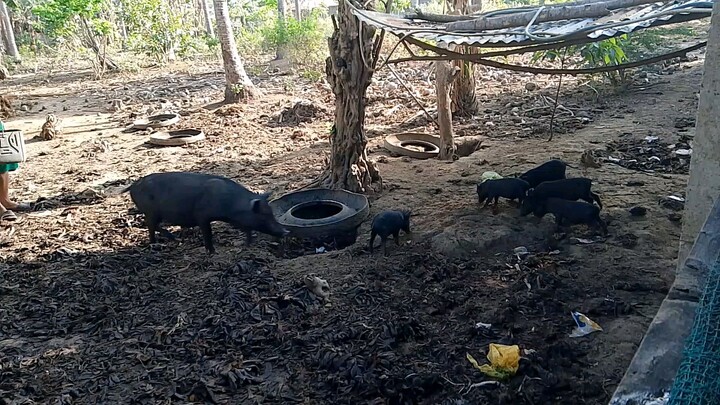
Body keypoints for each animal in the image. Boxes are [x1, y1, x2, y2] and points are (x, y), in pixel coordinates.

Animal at [124, 171, 290, 252]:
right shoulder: (202, 216)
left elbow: (246, 230)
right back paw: (159, 243)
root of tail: (133, 185)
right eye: (264, 216)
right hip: (151, 211)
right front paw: (211, 252)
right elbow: (208, 233)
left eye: (271, 213)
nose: (286, 231)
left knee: (154, 226)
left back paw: (173, 239)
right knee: (151, 226)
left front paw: (247, 244)